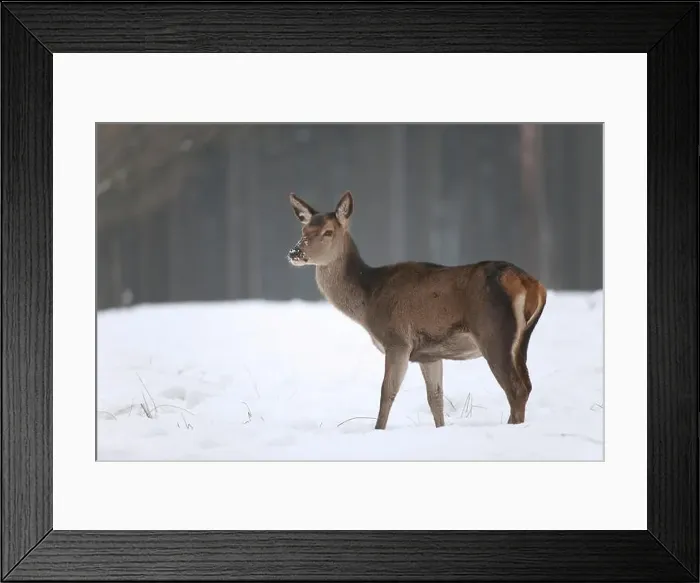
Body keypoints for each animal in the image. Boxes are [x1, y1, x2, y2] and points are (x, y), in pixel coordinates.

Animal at [287, 191, 547, 430]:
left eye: (328, 232)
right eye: (303, 231)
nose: (295, 253)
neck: (368, 301)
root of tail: (532, 285)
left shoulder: (398, 341)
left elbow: (387, 393)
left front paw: (378, 430)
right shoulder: (429, 354)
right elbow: (436, 399)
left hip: (493, 333)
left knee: (516, 389)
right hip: (521, 341)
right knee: (527, 386)